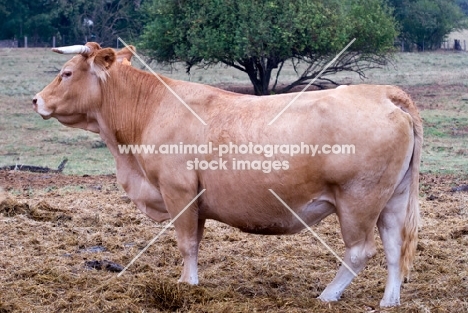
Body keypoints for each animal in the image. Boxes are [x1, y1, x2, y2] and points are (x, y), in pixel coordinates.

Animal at [31, 42, 422, 306]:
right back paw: (389, 300)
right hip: (392, 198)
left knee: (360, 251)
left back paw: (328, 294)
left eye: (66, 72)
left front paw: (186, 285)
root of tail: (385, 93)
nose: (36, 100)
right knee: (393, 247)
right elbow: (196, 241)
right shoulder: (197, 202)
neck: (151, 109)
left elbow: (186, 243)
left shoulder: (178, 190)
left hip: (358, 200)